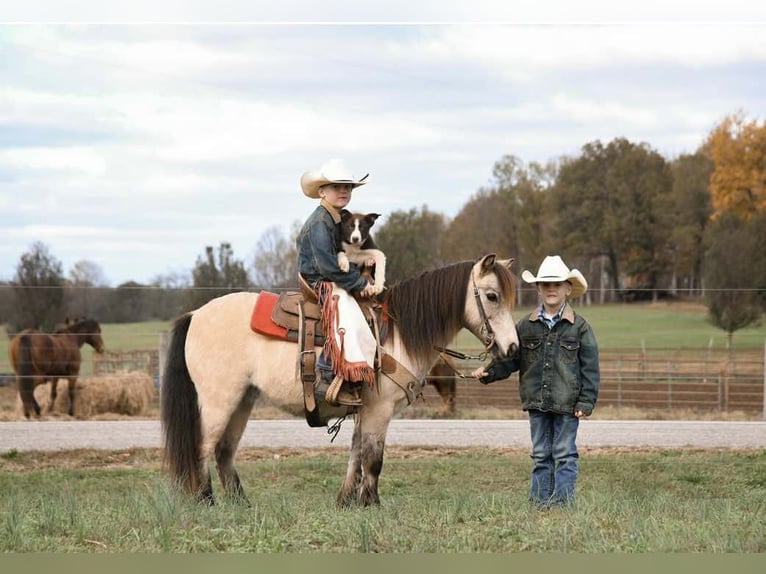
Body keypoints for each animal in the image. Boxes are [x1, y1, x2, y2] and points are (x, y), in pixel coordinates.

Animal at [162, 256, 520, 508]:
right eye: (492, 296)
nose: (513, 348)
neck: (397, 334)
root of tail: (195, 315)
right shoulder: (379, 410)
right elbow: (373, 459)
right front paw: (372, 504)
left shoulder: (364, 410)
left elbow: (355, 454)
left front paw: (348, 500)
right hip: (218, 402)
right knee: (202, 448)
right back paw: (206, 502)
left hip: (243, 400)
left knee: (224, 451)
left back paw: (241, 504)